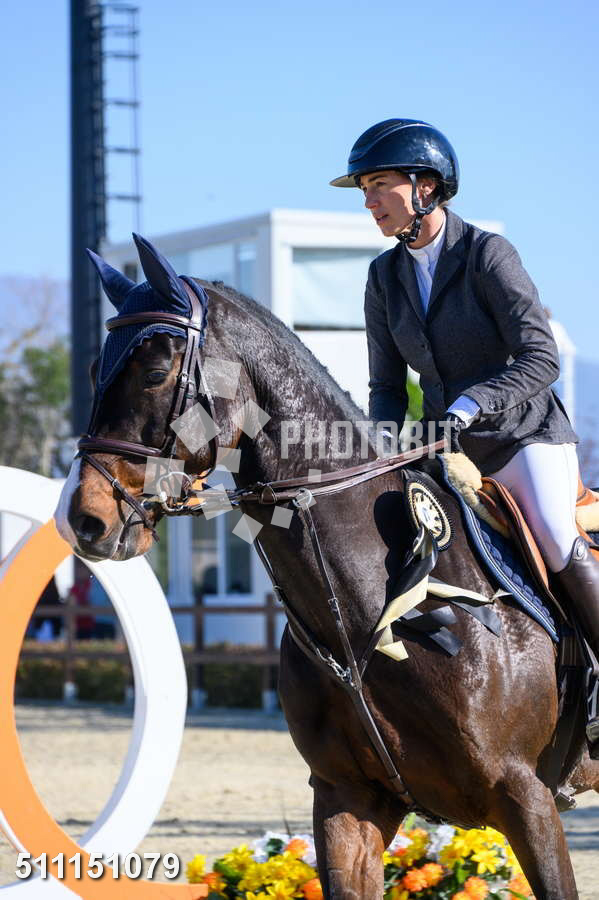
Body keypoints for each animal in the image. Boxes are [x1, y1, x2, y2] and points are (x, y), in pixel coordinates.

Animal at [55, 235, 599, 899]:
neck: (369, 610)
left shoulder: (527, 798)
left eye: (156, 374)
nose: (83, 520)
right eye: (92, 373)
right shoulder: (349, 801)